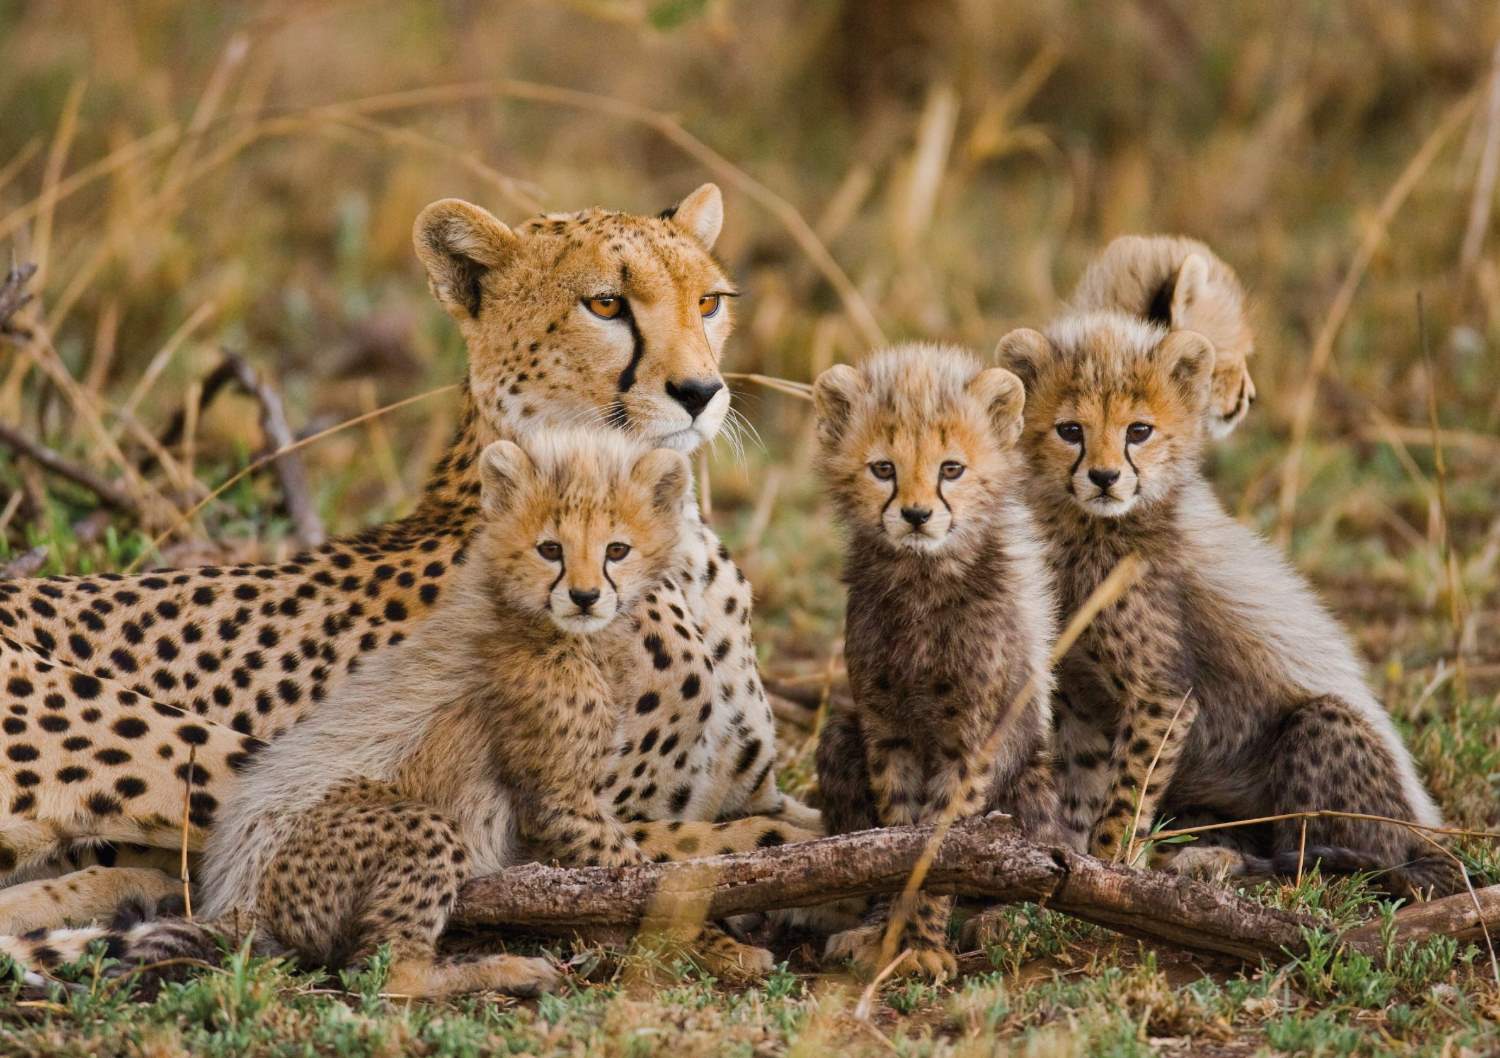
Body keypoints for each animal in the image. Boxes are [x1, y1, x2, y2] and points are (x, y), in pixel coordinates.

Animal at [0, 182, 817, 938]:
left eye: (708, 301)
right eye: (607, 304)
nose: (701, 391)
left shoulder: (748, 786)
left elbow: (795, 817)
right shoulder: (560, 820)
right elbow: (749, 842)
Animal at [809, 344, 1059, 980]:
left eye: (951, 469)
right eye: (883, 469)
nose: (918, 515)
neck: (923, 581)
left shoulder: (970, 741)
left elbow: (942, 845)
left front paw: (921, 942)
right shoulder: (885, 727)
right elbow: (894, 838)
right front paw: (891, 934)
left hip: (1032, 776)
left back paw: (1003, 918)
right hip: (840, 735)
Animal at [994, 311, 1458, 897]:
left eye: (1138, 431)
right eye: (1070, 430)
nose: (1104, 478)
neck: (1091, 530)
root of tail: (1429, 834)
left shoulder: (1163, 697)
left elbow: (1127, 796)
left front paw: (1109, 867)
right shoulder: (1082, 696)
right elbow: (1084, 785)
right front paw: (1068, 862)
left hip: (1326, 736)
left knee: (1322, 861)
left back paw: (1219, 862)